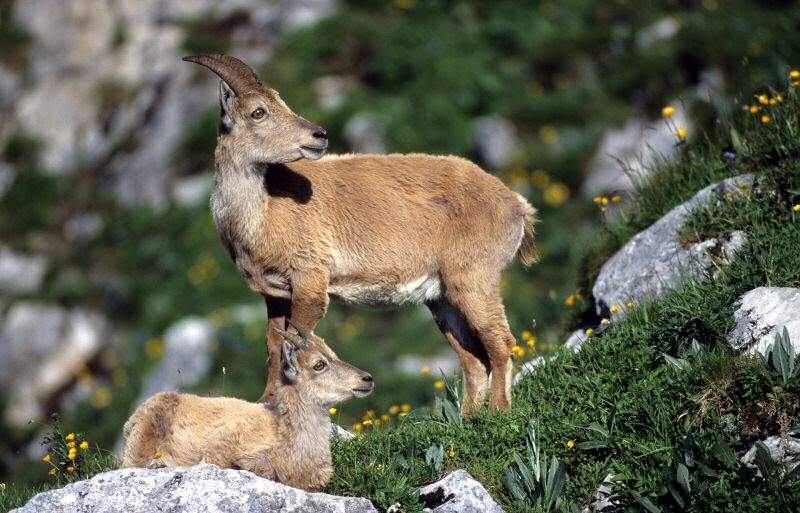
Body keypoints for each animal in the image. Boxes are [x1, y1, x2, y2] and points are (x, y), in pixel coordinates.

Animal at [121, 321, 374, 492]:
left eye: (334, 355)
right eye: (319, 364)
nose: (367, 379)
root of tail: (130, 420)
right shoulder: (221, 445)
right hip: (142, 440)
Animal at [182, 54, 538, 415]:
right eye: (259, 112)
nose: (319, 134)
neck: (263, 212)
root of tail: (516, 205)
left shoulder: (310, 279)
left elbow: (295, 342)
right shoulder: (275, 292)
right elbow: (273, 344)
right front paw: (267, 400)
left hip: (474, 277)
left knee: (500, 342)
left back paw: (499, 412)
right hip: (441, 297)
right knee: (472, 359)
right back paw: (469, 418)